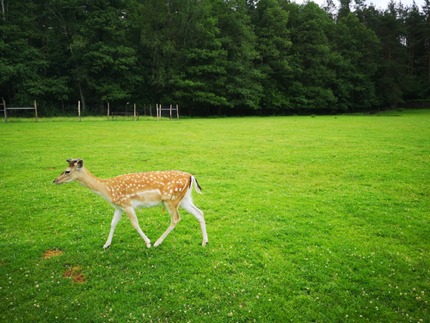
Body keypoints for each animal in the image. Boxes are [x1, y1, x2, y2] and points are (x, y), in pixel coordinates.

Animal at [53, 159, 208, 248]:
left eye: (67, 171)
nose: (55, 180)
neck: (107, 190)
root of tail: (191, 176)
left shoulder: (127, 204)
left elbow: (135, 224)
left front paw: (148, 242)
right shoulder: (119, 207)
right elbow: (113, 223)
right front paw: (106, 244)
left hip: (171, 199)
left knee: (176, 218)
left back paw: (158, 242)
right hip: (184, 199)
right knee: (199, 212)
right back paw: (204, 242)